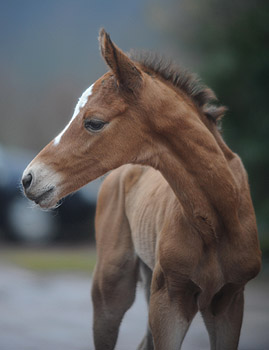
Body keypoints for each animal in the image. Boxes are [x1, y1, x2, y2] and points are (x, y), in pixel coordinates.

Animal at [22, 28, 260, 348]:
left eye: (94, 122)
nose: (28, 179)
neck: (218, 220)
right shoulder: (169, 298)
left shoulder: (231, 301)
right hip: (112, 288)